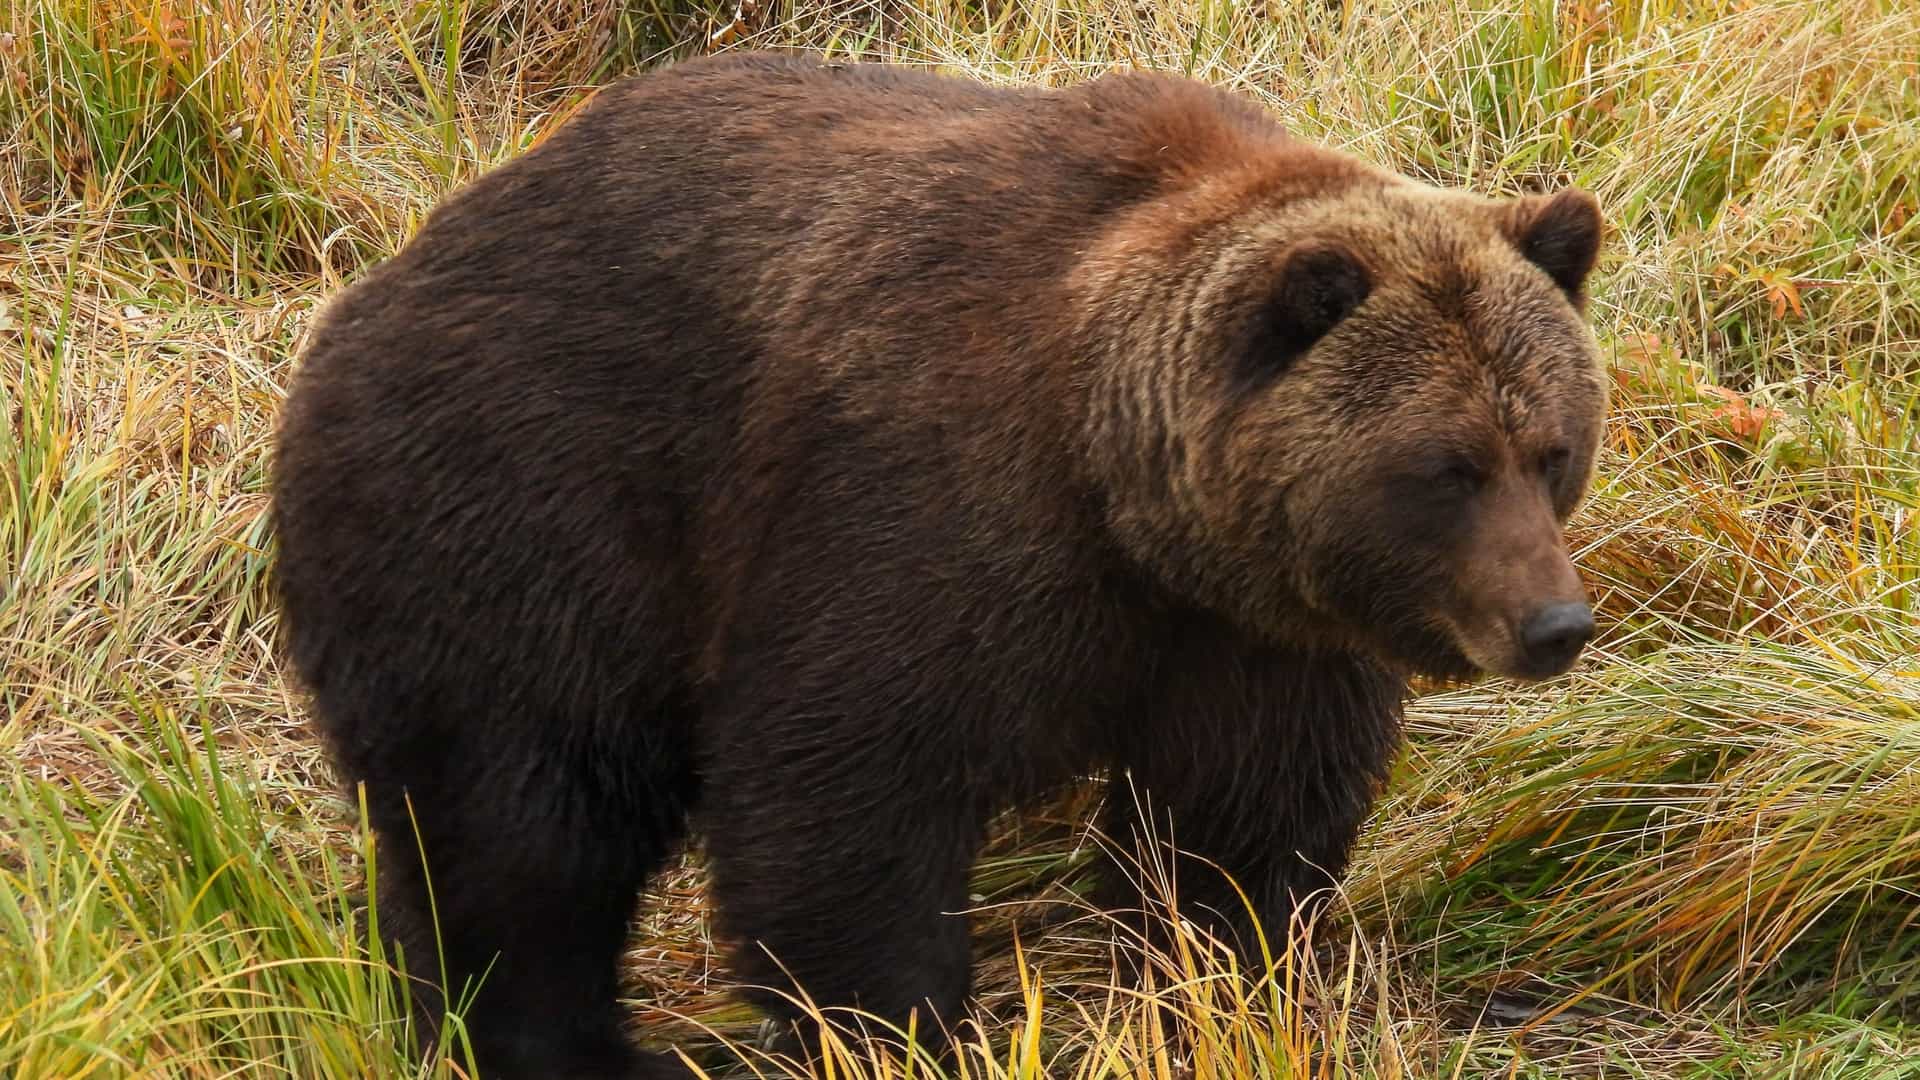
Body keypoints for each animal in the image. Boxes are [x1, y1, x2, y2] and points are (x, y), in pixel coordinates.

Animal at [269, 49, 1607, 1080]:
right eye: (1446, 466)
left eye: (1551, 448)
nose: (1555, 623)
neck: (1125, 500)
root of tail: (387, 276)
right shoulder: (927, 506)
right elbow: (846, 789)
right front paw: (906, 1026)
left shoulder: (1255, 633)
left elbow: (1242, 820)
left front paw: (1212, 983)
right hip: (528, 508)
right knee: (526, 814)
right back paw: (565, 1044)